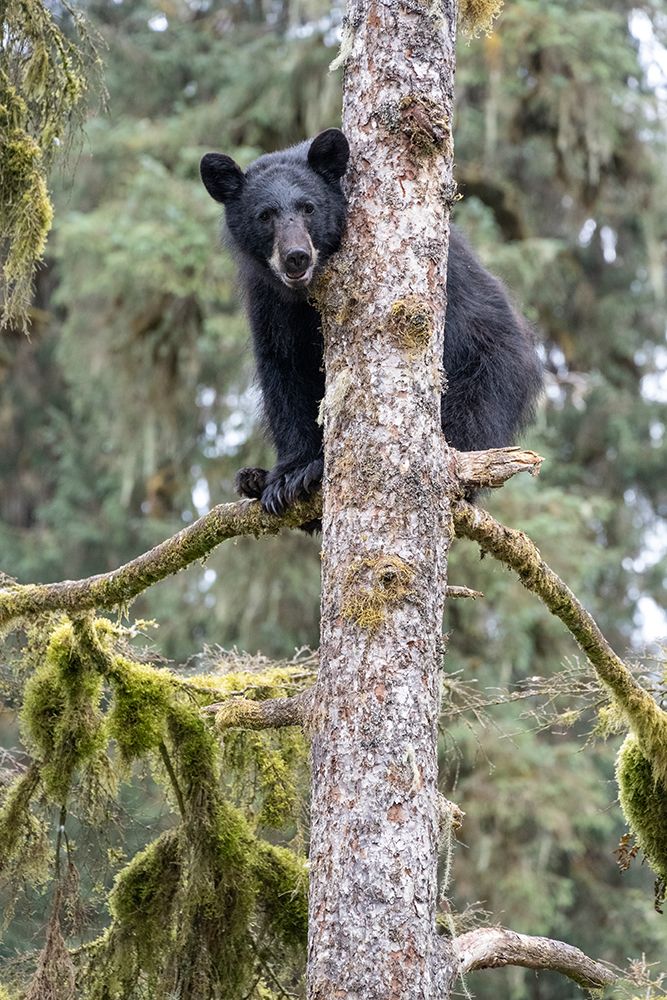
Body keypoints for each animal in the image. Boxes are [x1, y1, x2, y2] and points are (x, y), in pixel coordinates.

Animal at [200, 128, 543, 519]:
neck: (306, 294)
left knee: (472, 417)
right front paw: (288, 473)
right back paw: (254, 480)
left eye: (308, 207)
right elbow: (284, 371)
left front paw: (302, 474)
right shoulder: (269, 302)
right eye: (265, 215)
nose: (295, 257)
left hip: (492, 365)